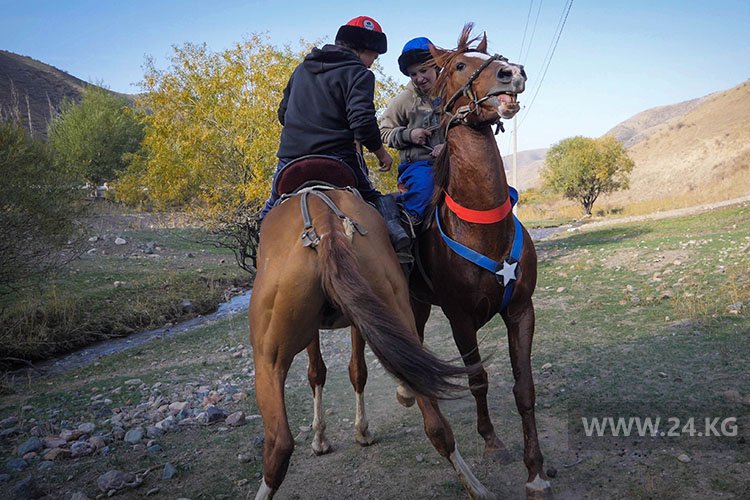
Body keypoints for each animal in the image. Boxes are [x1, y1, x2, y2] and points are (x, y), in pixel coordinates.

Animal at [248, 156, 494, 499]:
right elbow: (356, 371)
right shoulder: (360, 317)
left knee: (279, 444)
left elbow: (319, 373)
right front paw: (356, 431)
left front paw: (326, 438)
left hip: (267, 356)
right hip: (391, 309)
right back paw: (477, 487)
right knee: (435, 421)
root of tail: (325, 221)